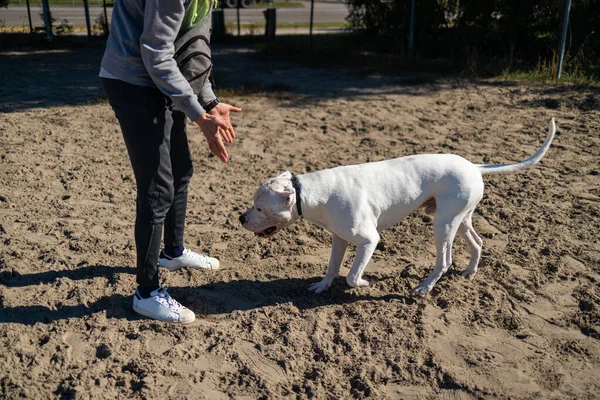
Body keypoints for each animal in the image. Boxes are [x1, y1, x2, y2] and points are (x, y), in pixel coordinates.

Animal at [238, 117, 552, 296]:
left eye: (259, 208)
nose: (240, 218)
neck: (310, 192)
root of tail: (474, 166)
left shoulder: (369, 240)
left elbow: (352, 276)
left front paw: (367, 284)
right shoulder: (339, 239)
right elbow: (332, 267)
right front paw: (322, 286)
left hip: (443, 224)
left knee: (445, 260)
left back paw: (424, 287)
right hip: (460, 219)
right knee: (477, 243)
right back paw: (470, 273)